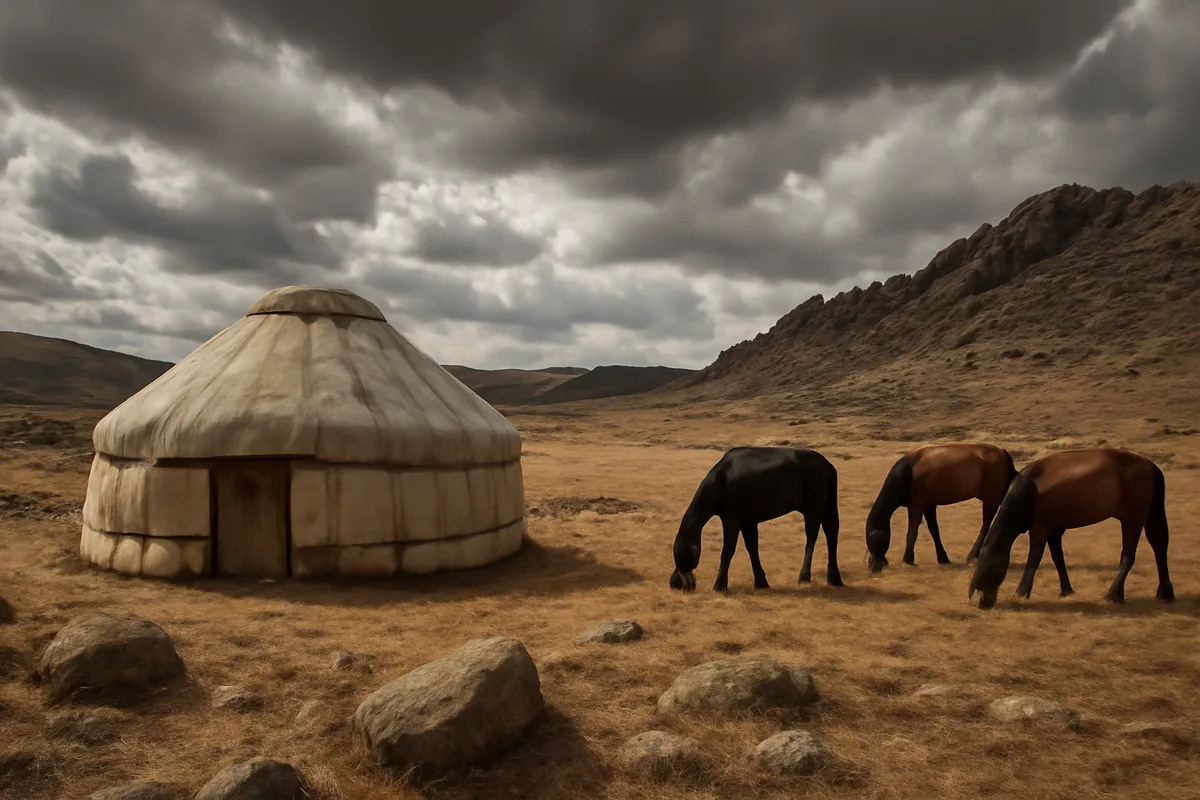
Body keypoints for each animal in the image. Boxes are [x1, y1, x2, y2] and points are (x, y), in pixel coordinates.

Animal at [669, 446, 843, 592]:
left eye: (682, 559)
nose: (674, 584)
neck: (720, 480)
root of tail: (827, 465)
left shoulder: (731, 519)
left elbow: (728, 551)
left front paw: (720, 584)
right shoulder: (748, 522)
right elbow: (752, 548)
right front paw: (761, 582)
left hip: (812, 508)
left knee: (812, 537)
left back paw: (805, 576)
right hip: (828, 505)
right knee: (831, 533)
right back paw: (834, 578)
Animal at [865, 442, 1018, 572]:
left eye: (873, 538)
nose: (874, 567)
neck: (907, 472)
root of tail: (1003, 453)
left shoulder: (917, 505)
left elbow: (913, 531)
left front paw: (908, 559)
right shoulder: (929, 506)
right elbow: (934, 530)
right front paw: (942, 557)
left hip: (990, 500)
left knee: (986, 525)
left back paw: (973, 555)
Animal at [968, 446, 1175, 610]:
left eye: (998, 571)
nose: (983, 603)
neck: (1029, 490)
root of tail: (1152, 466)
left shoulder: (1041, 526)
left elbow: (1035, 556)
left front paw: (1022, 591)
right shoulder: (1055, 529)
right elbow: (1058, 558)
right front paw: (1066, 589)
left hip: (1133, 518)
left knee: (1129, 555)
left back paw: (1113, 594)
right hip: (1150, 513)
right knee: (1159, 545)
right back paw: (1164, 592)